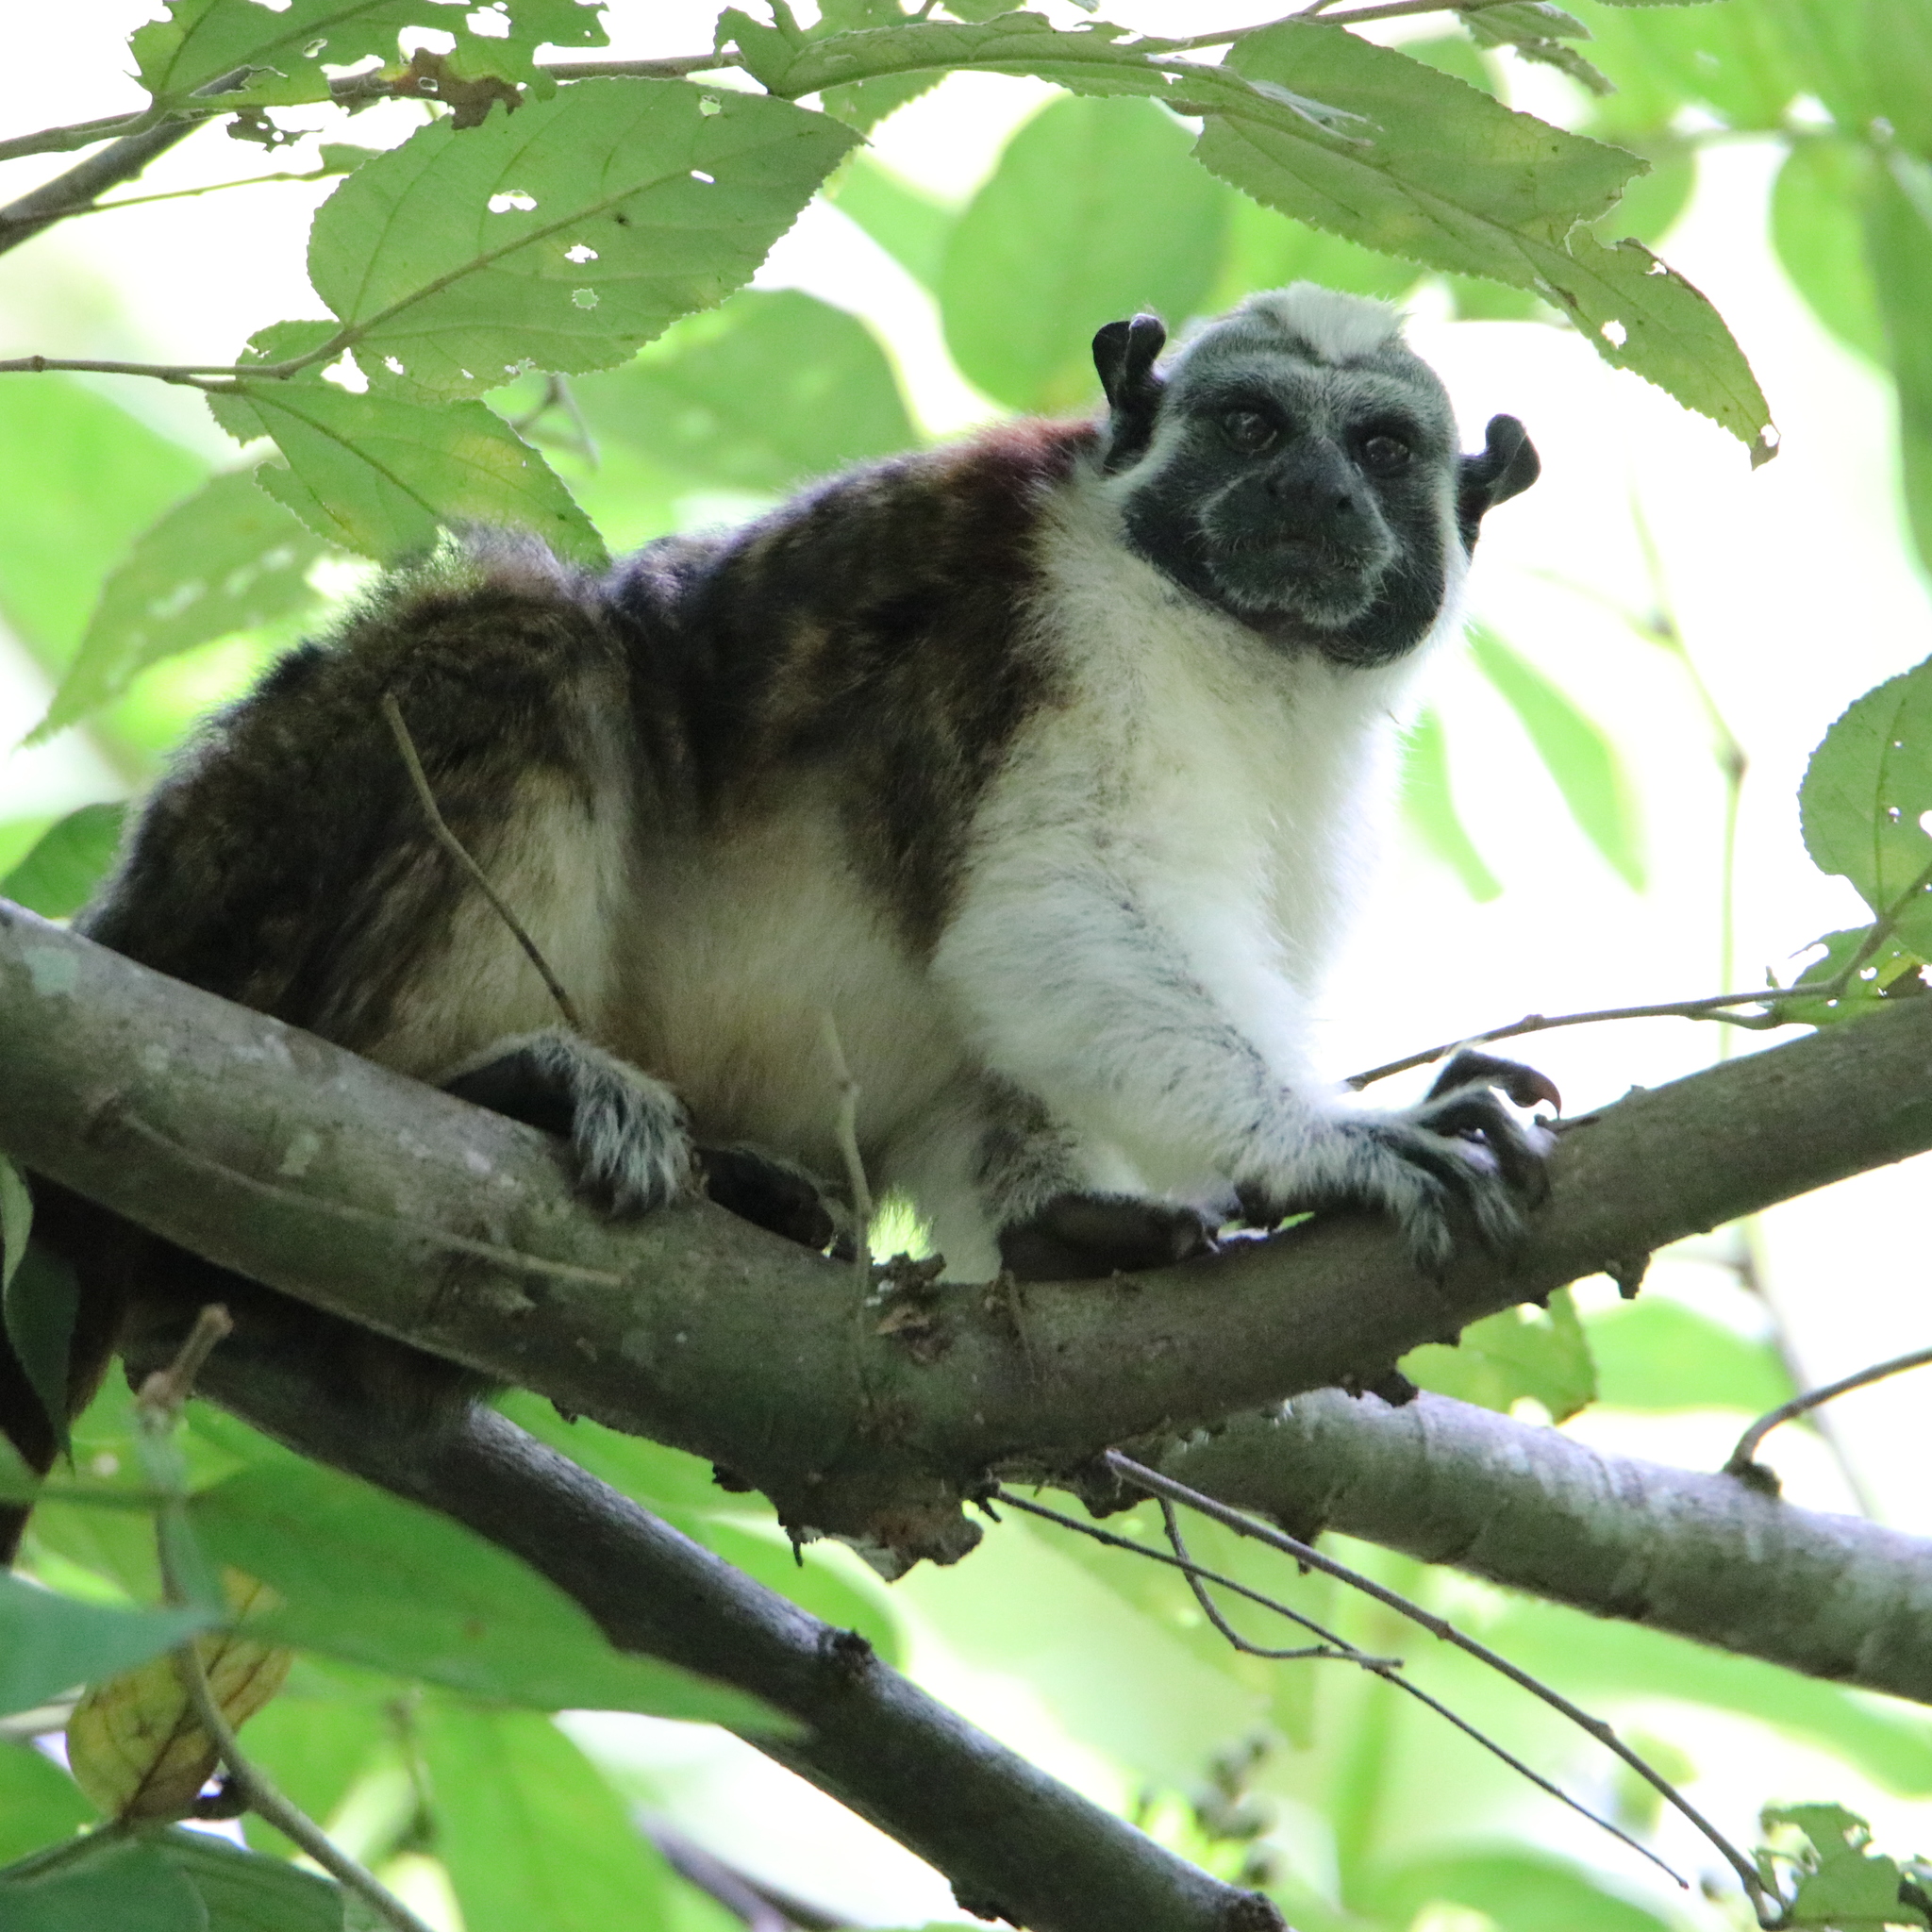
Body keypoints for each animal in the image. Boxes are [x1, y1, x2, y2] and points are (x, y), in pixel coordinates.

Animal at [5, 282, 1548, 1513]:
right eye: (1249, 429)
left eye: (1381, 451)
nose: (1309, 496)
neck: (1240, 651)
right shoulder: (1042, 629)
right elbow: (1045, 914)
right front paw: (1328, 1146)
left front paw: (1084, 1221)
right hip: (235, 906)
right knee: (532, 636)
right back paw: (502, 1082)